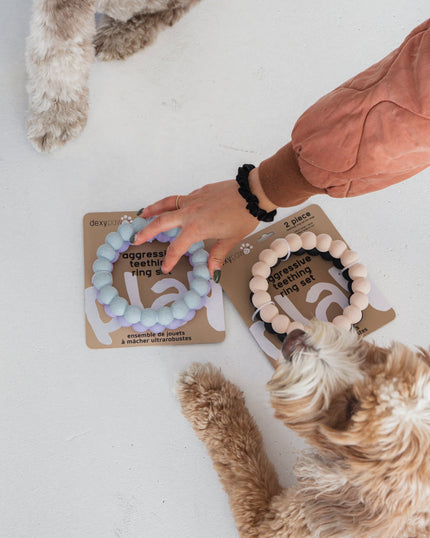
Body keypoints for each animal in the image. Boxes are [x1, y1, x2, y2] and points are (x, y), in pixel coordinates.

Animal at [176, 320, 430, 532]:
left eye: (352, 409)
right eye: (379, 361)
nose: (295, 339)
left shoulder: (271, 523)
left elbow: (244, 458)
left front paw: (205, 391)